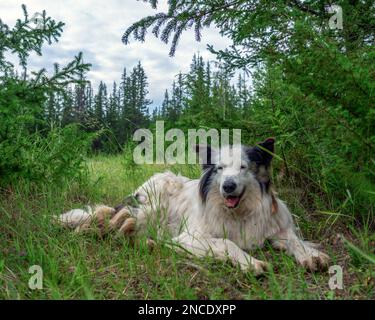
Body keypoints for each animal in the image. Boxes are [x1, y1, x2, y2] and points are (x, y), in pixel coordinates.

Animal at [58, 138, 328, 276]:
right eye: (219, 168)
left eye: (243, 167)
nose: (228, 186)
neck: (238, 213)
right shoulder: (190, 237)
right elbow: (227, 243)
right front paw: (250, 263)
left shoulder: (276, 230)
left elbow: (295, 241)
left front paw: (311, 256)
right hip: (155, 202)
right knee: (119, 217)